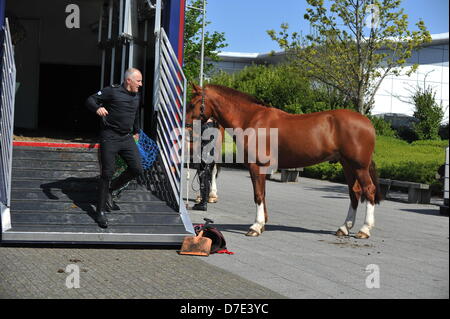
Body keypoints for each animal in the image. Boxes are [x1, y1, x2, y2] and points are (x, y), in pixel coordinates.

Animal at [185, 84, 380, 239]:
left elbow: (258, 195)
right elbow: (263, 194)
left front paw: (255, 226)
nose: (186, 128)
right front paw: (262, 223)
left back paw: (364, 230)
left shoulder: (256, 166)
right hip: (347, 165)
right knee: (354, 193)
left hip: (359, 167)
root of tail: (368, 123)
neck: (251, 119)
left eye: (192, 104)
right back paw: (344, 228)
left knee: (368, 190)